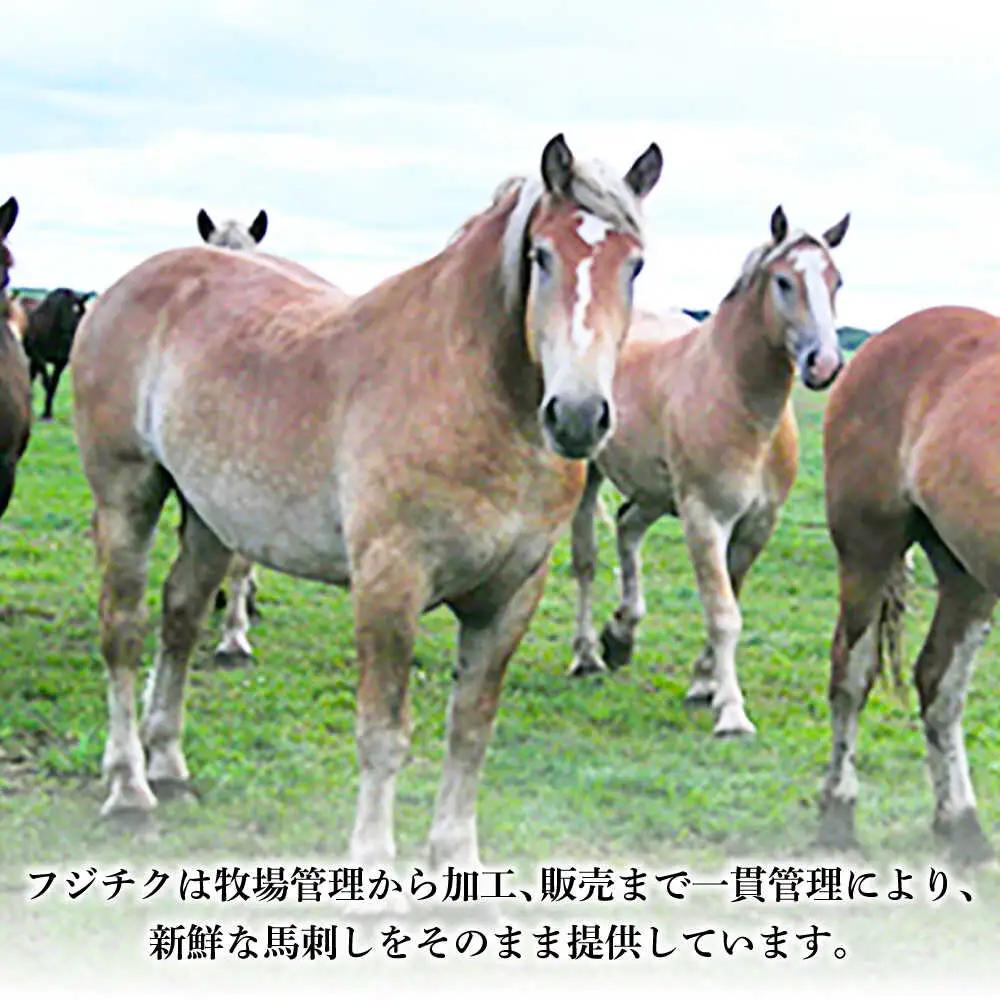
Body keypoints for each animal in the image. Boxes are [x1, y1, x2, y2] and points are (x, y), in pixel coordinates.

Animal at [22, 287, 95, 420]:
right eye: (75, 314)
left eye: (84, 314)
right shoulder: (39, 357)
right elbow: (47, 383)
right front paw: (45, 414)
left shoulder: (60, 362)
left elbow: (53, 385)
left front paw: (47, 413)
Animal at [72, 134, 663, 867]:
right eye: (542, 256)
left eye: (634, 265)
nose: (578, 416)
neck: (471, 393)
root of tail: (123, 290)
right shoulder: (389, 584)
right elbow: (384, 734)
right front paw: (373, 861)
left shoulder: (510, 596)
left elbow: (471, 731)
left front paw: (456, 858)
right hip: (126, 495)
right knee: (122, 632)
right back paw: (129, 788)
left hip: (211, 517)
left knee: (179, 618)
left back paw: (168, 765)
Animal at [568, 206, 849, 737]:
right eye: (784, 281)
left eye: (835, 280)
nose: (823, 364)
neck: (738, 399)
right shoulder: (705, 519)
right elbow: (723, 613)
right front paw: (732, 712)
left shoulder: (756, 526)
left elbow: (730, 597)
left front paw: (704, 684)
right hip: (590, 477)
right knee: (586, 561)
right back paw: (588, 654)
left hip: (655, 495)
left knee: (627, 528)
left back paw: (622, 635)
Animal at [819, 305, 1000, 865]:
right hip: (867, 551)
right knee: (852, 675)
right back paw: (838, 815)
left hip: (967, 574)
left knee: (939, 684)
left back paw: (960, 824)